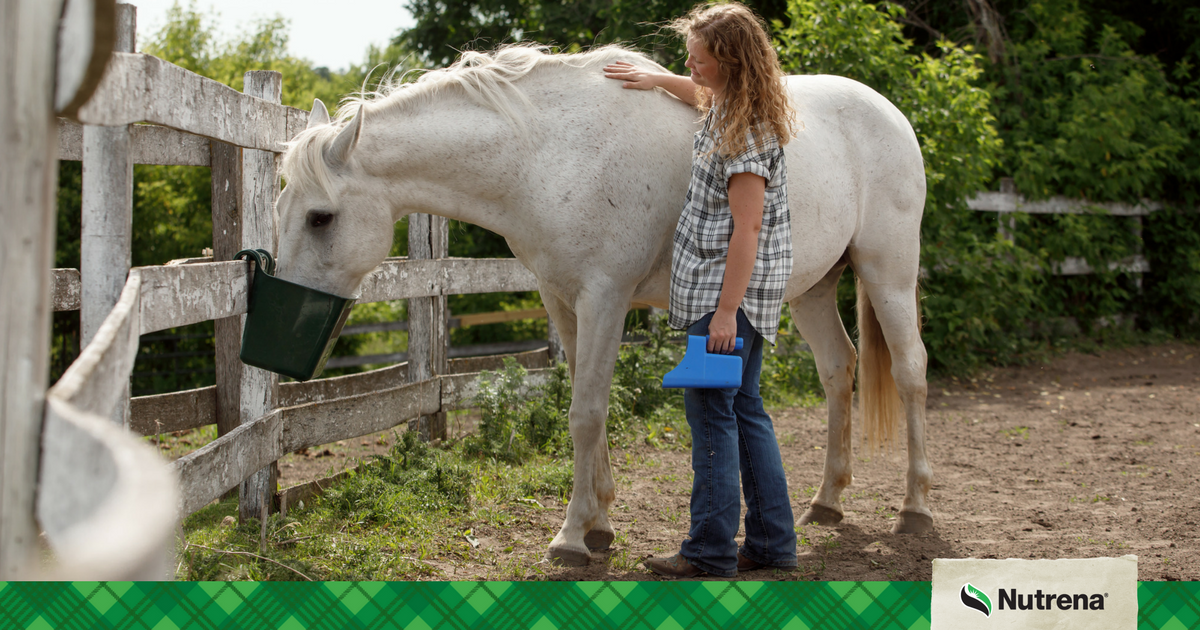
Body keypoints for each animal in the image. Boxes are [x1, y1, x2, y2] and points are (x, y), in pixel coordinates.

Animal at [274, 45, 931, 566]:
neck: (545, 155)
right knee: (838, 369)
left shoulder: (605, 297)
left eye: (320, 217)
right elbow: (586, 404)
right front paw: (599, 524)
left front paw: (569, 537)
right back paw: (827, 502)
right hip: (812, 290)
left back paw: (915, 509)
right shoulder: (562, 299)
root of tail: (891, 112)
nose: (287, 314)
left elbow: (585, 414)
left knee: (910, 372)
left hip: (889, 272)